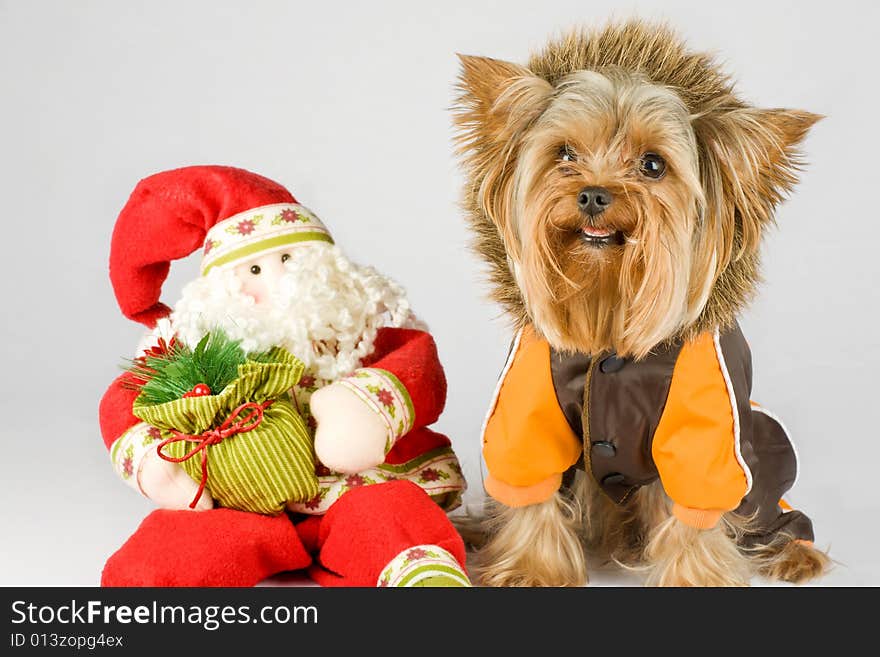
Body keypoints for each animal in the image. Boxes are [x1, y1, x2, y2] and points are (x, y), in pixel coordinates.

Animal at [454, 20, 832, 588]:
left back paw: (793, 551)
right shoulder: (527, 402)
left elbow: (697, 502)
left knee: (771, 502)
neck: (608, 314)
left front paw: (697, 578)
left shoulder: (708, 424)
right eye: (564, 154)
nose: (592, 194)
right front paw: (530, 569)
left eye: (653, 165)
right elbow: (530, 481)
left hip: (762, 441)